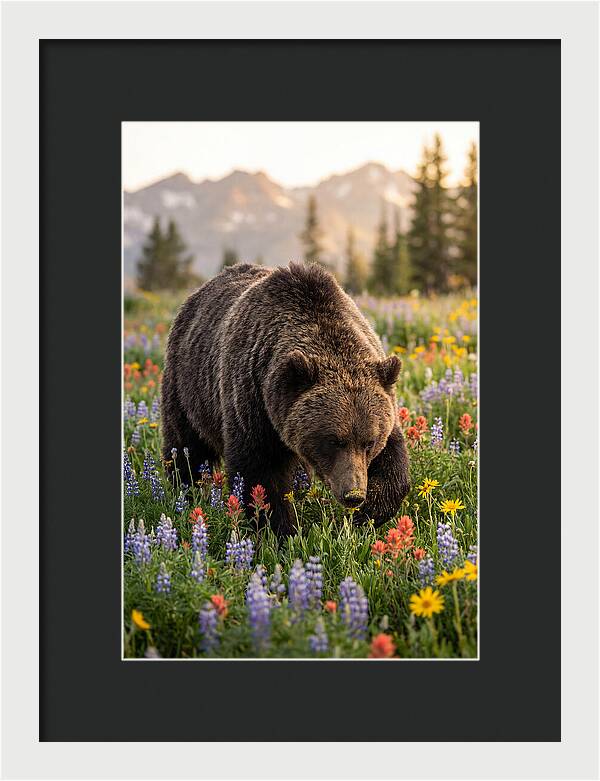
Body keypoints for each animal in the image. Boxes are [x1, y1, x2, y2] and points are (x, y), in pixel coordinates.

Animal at [161, 262, 410, 535]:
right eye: (334, 441)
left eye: (369, 442)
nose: (353, 494)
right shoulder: (253, 402)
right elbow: (260, 473)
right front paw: (280, 531)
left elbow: (394, 461)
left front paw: (369, 514)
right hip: (188, 388)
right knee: (186, 446)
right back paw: (184, 492)